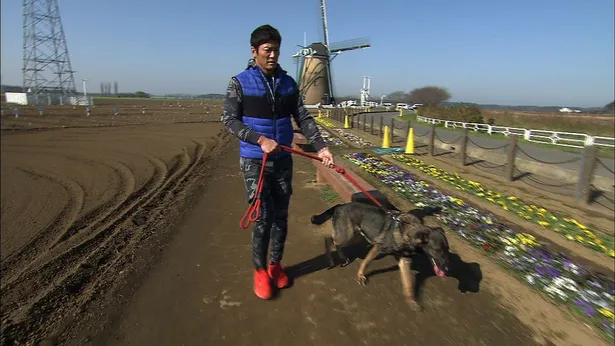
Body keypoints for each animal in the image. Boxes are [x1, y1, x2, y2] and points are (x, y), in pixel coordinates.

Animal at [310, 200, 450, 310]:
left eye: (447, 250)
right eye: (438, 250)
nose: (447, 269)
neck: (407, 232)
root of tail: (340, 205)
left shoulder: (404, 261)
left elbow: (408, 284)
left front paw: (412, 301)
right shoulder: (378, 247)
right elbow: (365, 262)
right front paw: (360, 276)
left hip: (355, 236)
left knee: (336, 243)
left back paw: (343, 258)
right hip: (347, 236)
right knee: (329, 239)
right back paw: (331, 260)